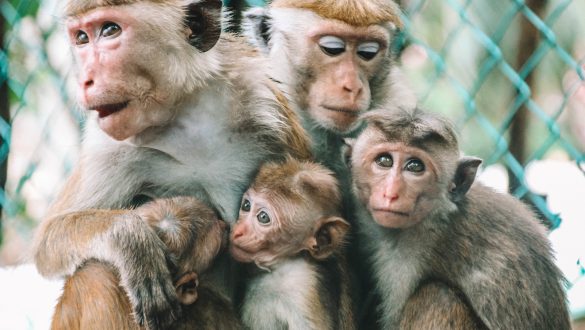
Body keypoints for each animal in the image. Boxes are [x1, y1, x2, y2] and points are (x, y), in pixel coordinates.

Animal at [346, 107, 572, 328]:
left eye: (415, 166)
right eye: (384, 161)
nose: (390, 193)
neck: (439, 215)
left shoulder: (407, 260)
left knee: (438, 297)